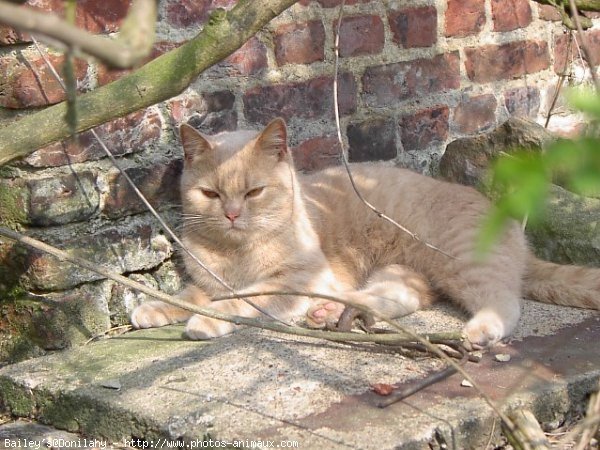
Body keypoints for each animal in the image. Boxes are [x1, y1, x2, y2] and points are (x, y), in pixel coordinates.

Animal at [131, 118, 600, 346]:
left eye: (254, 192)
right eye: (210, 193)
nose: (230, 214)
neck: (235, 252)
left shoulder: (297, 278)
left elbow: (242, 299)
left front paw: (206, 321)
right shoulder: (210, 280)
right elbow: (194, 293)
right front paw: (154, 308)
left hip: (464, 262)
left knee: (504, 302)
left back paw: (479, 331)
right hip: (400, 273)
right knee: (399, 299)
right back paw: (330, 313)